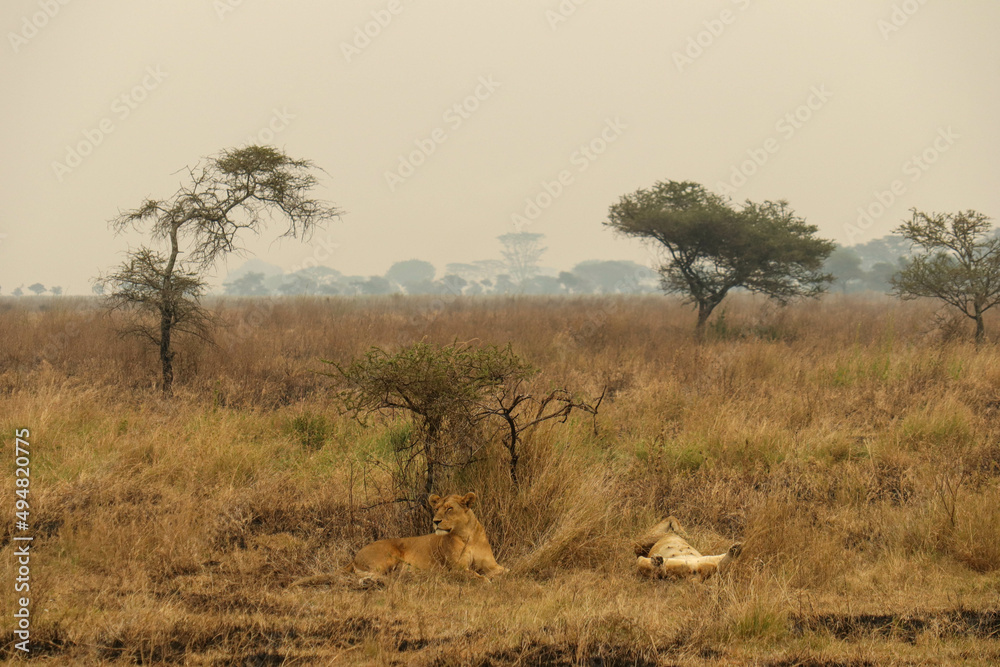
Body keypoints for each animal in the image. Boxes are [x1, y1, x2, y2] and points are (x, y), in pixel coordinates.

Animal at [335, 492, 505, 586]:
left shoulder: (492, 565)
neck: (466, 535)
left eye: (449, 509)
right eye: (436, 509)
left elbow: (506, 571)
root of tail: (355, 556)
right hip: (387, 557)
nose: (435, 521)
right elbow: (475, 575)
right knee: (370, 574)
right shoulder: (457, 569)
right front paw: (486, 580)